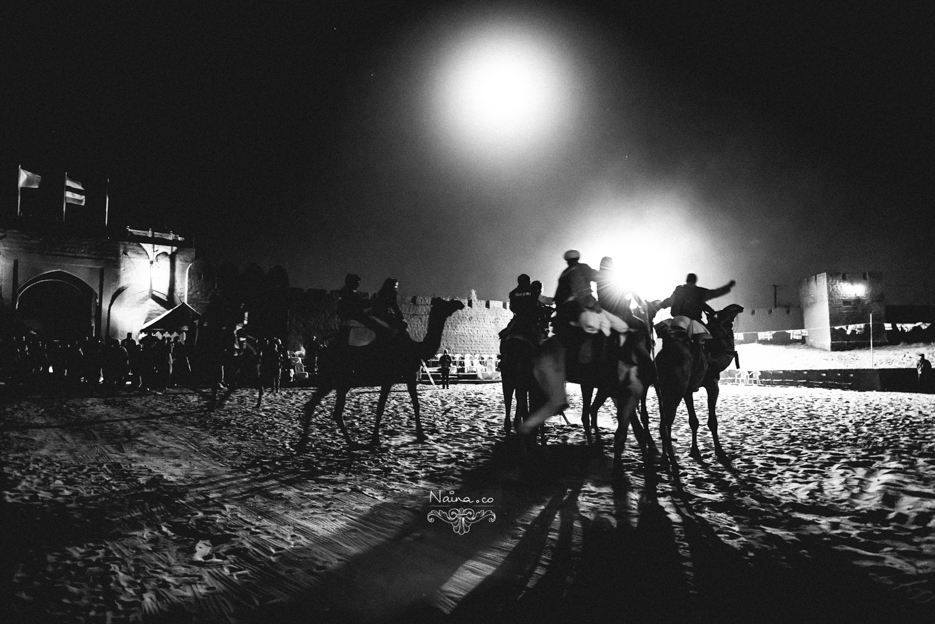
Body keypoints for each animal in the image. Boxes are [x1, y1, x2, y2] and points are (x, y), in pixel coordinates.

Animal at [296, 298, 464, 454]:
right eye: (444, 303)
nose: (459, 304)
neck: (415, 348)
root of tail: (322, 351)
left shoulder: (408, 375)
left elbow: (415, 404)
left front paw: (421, 434)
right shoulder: (392, 377)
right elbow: (381, 407)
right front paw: (375, 439)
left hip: (333, 381)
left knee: (317, 406)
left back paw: (307, 443)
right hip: (340, 380)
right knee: (333, 410)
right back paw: (348, 443)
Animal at [656, 304, 744, 472]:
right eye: (727, 323)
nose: (738, 308)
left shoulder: (688, 390)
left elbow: (693, 421)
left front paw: (695, 451)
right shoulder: (712, 384)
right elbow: (712, 421)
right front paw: (720, 453)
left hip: (663, 392)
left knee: (663, 423)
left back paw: (665, 459)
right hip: (674, 392)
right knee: (666, 424)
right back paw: (673, 463)